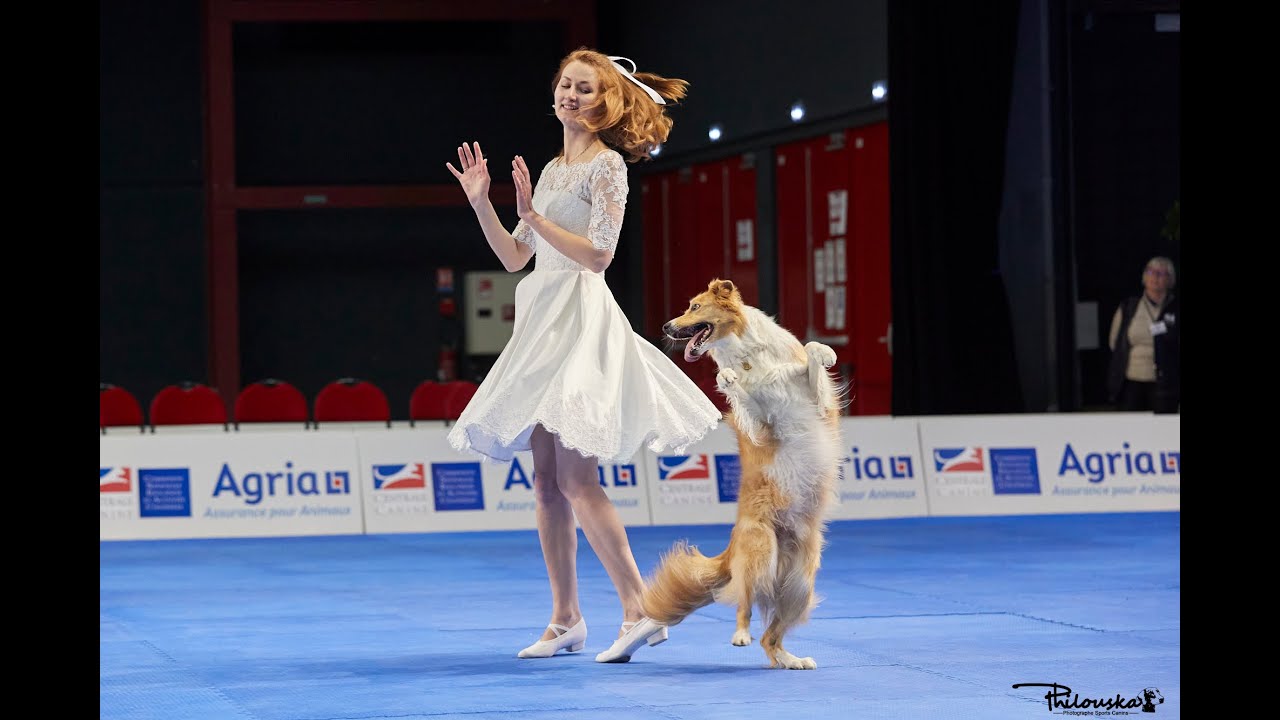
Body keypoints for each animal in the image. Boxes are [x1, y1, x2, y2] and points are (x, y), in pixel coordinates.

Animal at [645, 275, 844, 666]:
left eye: (694, 307)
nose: (666, 327)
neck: (751, 356)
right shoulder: (762, 426)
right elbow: (742, 393)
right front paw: (728, 377)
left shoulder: (817, 401)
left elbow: (812, 353)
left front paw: (824, 352)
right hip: (761, 549)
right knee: (745, 604)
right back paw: (740, 635)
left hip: (800, 584)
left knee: (771, 636)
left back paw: (792, 660)